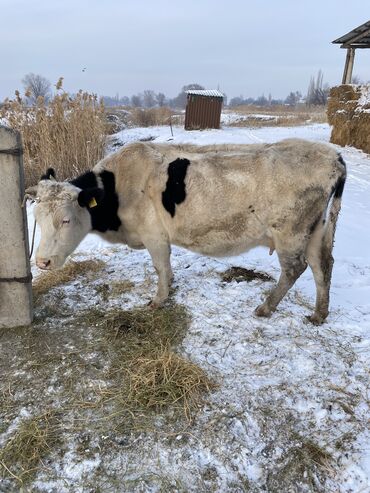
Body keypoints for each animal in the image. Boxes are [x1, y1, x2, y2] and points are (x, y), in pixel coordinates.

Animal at [26, 138, 346, 322]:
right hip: (315, 229)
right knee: (322, 265)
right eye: (37, 218)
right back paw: (319, 314)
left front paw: (158, 299)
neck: (117, 187)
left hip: (290, 232)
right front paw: (171, 284)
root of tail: (332, 155)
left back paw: (265, 308)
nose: (42, 261)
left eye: (66, 220)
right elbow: (166, 267)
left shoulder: (154, 235)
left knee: (295, 269)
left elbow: (159, 266)